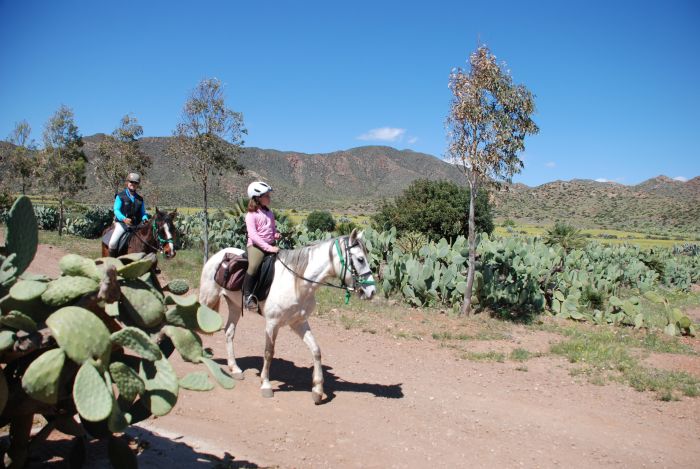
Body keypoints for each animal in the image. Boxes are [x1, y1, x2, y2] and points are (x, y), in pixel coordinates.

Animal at [198, 229, 378, 400]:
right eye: (360, 259)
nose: (372, 291)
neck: (297, 282)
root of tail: (218, 255)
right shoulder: (272, 323)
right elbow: (269, 352)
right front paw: (266, 385)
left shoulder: (299, 322)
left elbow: (316, 350)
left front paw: (318, 390)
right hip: (208, 298)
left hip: (234, 306)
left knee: (229, 332)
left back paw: (234, 368)